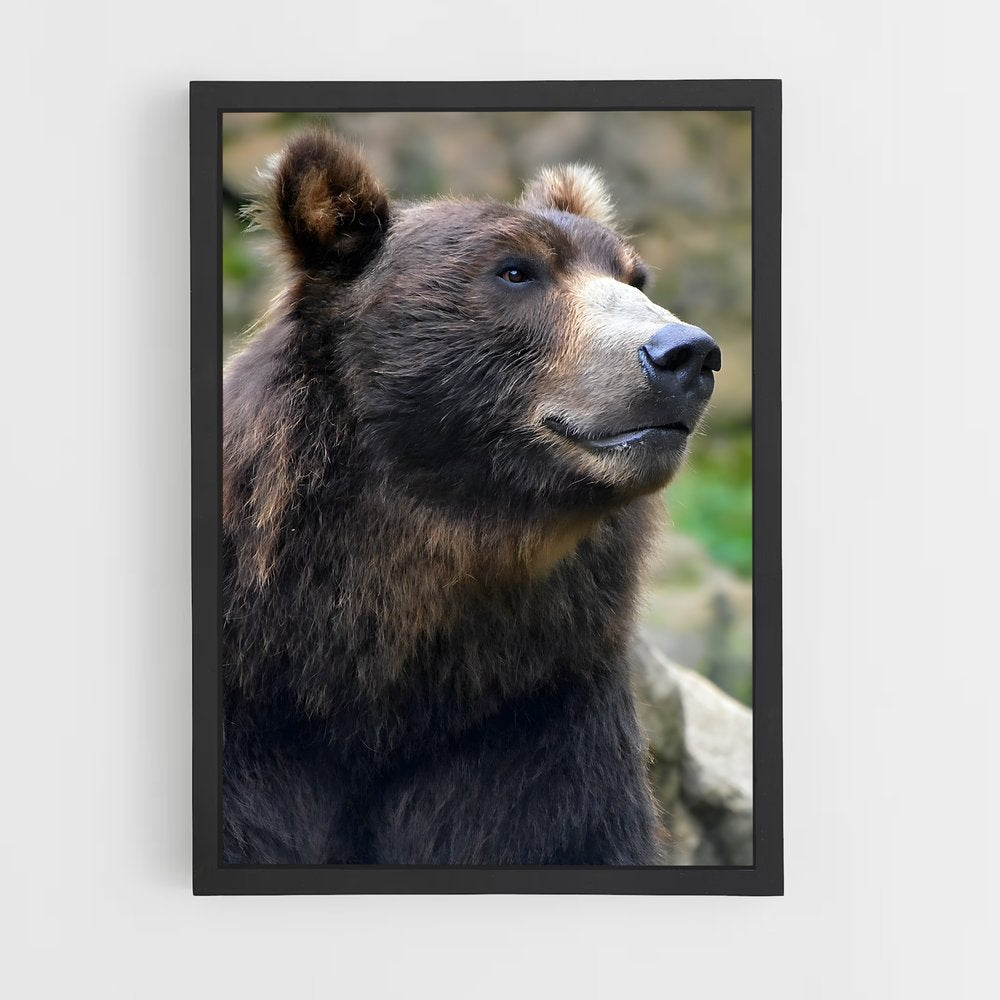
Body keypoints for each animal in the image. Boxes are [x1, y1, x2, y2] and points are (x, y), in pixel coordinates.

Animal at [222, 130, 721, 865]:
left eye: (635, 278)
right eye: (516, 272)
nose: (685, 353)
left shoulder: (528, 718)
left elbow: (563, 830)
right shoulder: (258, 727)